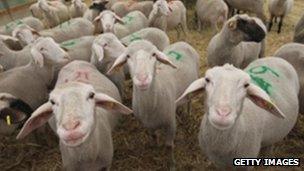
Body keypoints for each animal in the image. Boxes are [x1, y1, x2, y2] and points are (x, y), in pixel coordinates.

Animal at [108, 40, 201, 170]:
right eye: (128, 56)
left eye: (154, 54)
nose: (142, 79)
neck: (150, 106)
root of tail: (182, 42)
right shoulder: (147, 124)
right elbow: (153, 136)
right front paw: (155, 146)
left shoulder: (171, 124)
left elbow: (169, 146)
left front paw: (172, 164)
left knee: (189, 101)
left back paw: (188, 113)